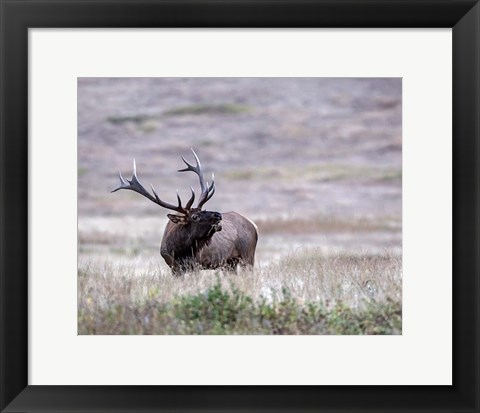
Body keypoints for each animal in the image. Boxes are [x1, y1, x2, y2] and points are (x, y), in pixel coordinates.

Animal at [112, 150, 256, 276]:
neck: (179, 251)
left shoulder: (196, 265)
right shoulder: (174, 267)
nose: (218, 215)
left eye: (203, 210)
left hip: (247, 256)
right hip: (229, 263)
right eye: (195, 216)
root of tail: (253, 225)